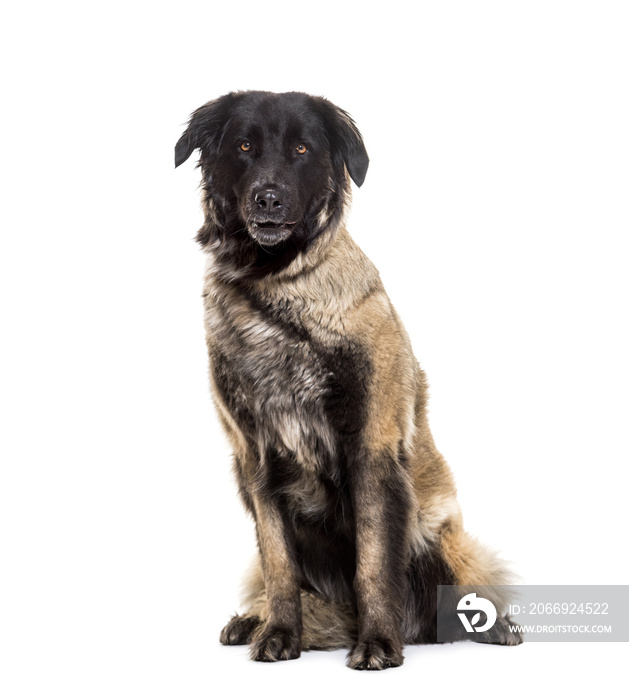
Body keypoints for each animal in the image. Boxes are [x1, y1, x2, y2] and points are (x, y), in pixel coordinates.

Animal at [174, 90, 524, 668]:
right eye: (244, 146)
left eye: (301, 149)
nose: (268, 199)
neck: (277, 287)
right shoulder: (256, 459)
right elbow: (279, 565)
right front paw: (279, 633)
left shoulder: (372, 447)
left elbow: (374, 561)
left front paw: (378, 642)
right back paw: (254, 622)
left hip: (443, 537)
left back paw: (492, 627)